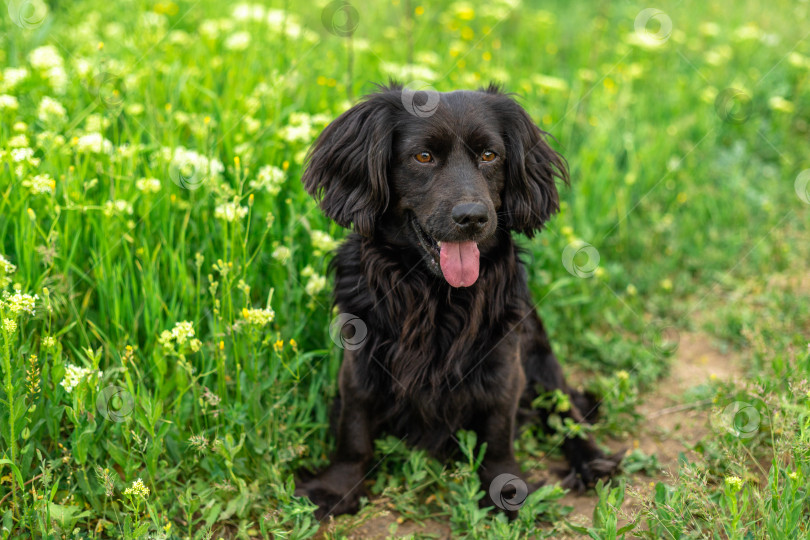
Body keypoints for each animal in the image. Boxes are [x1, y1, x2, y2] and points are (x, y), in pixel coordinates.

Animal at [294, 83, 620, 520]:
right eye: (423, 156)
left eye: (489, 155)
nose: (473, 217)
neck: (435, 294)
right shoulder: (361, 355)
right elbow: (355, 426)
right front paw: (337, 487)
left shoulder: (503, 359)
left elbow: (498, 430)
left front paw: (504, 490)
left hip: (542, 360)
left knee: (566, 412)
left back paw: (592, 460)